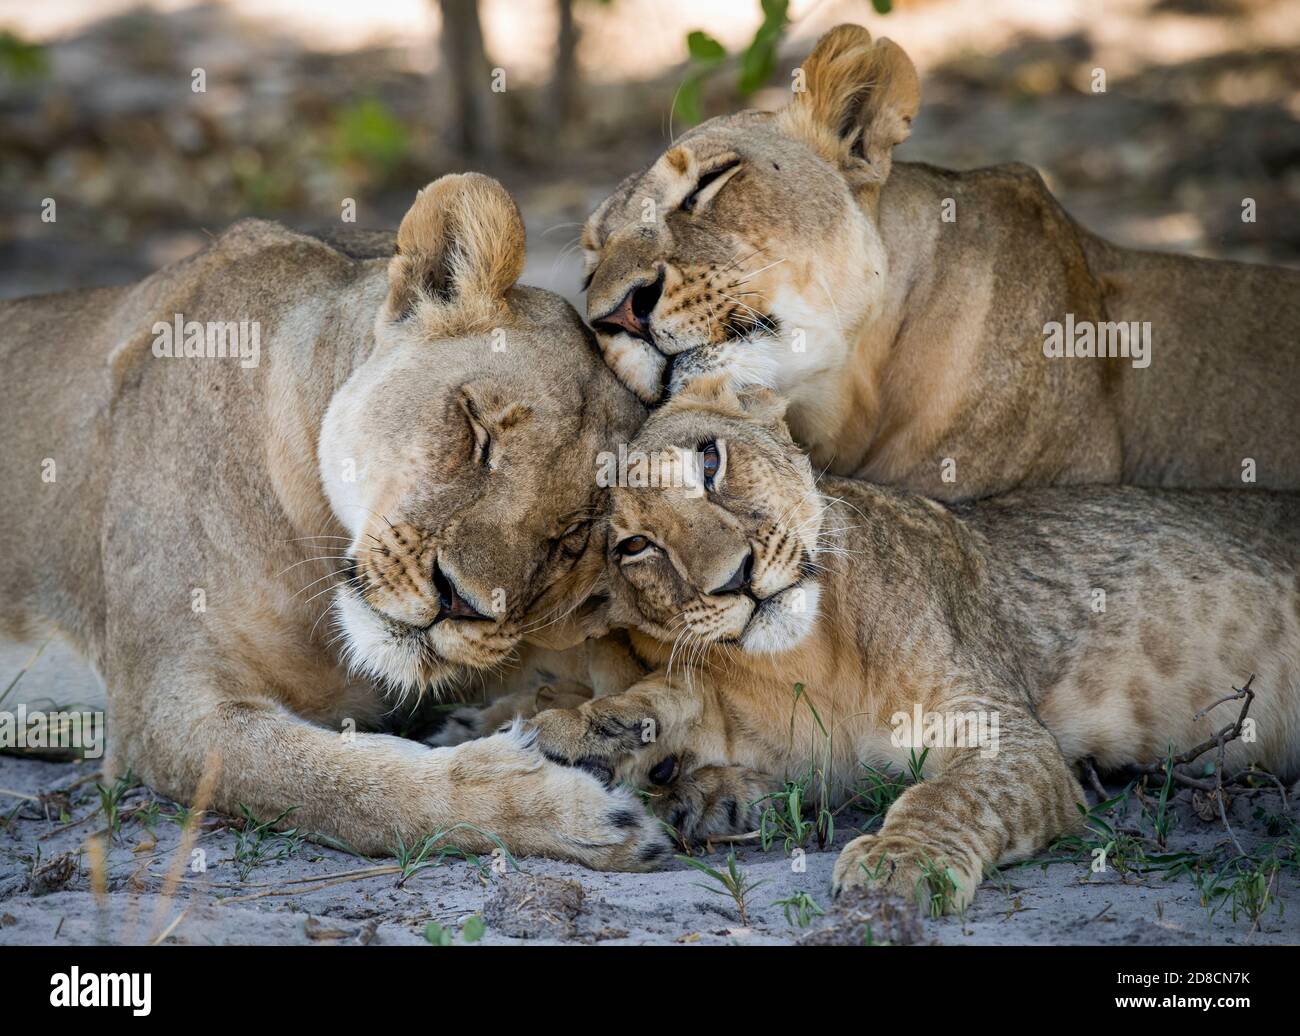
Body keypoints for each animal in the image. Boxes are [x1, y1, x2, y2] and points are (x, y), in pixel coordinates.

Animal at [0, 175, 670, 863]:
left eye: (573, 536)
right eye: (476, 429)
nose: (457, 601)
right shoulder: (163, 710)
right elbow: (346, 784)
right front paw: (555, 803)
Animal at [527, 376, 1300, 904]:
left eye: (710, 463)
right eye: (635, 546)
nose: (736, 579)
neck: (808, 661)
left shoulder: (1005, 732)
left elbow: (947, 796)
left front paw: (897, 863)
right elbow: (673, 696)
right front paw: (593, 733)